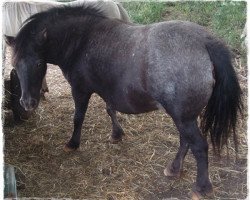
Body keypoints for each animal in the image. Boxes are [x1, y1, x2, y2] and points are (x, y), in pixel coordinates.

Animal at [6, 4, 242, 198]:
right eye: (15, 64)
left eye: (39, 64)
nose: (27, 103)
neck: (82, 40)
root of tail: (205, 42)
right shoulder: (107, 89)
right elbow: (110, 110)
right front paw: (116, 134)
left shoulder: (80, 90)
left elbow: (78, 117)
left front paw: (73, 143)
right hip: (184, 116)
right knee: (186, 141)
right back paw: (174, 169)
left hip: (183, 117)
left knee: (199, 146)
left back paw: (201, 187)